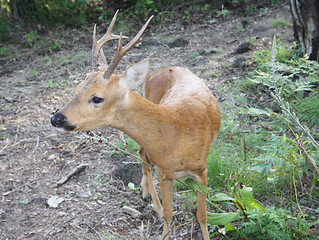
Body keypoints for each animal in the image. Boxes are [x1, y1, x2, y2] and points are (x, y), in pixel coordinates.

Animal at [52, 10, 222, 240]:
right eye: (78, 87)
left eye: (96, 98)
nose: (56, 119)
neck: (176, 133)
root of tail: (162, 69)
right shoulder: (164, 173)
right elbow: (169, 214)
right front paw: (161, 217)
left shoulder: (202, 169)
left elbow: (202, 215)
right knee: (143, 155)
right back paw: (149, 197)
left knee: (143, 154)